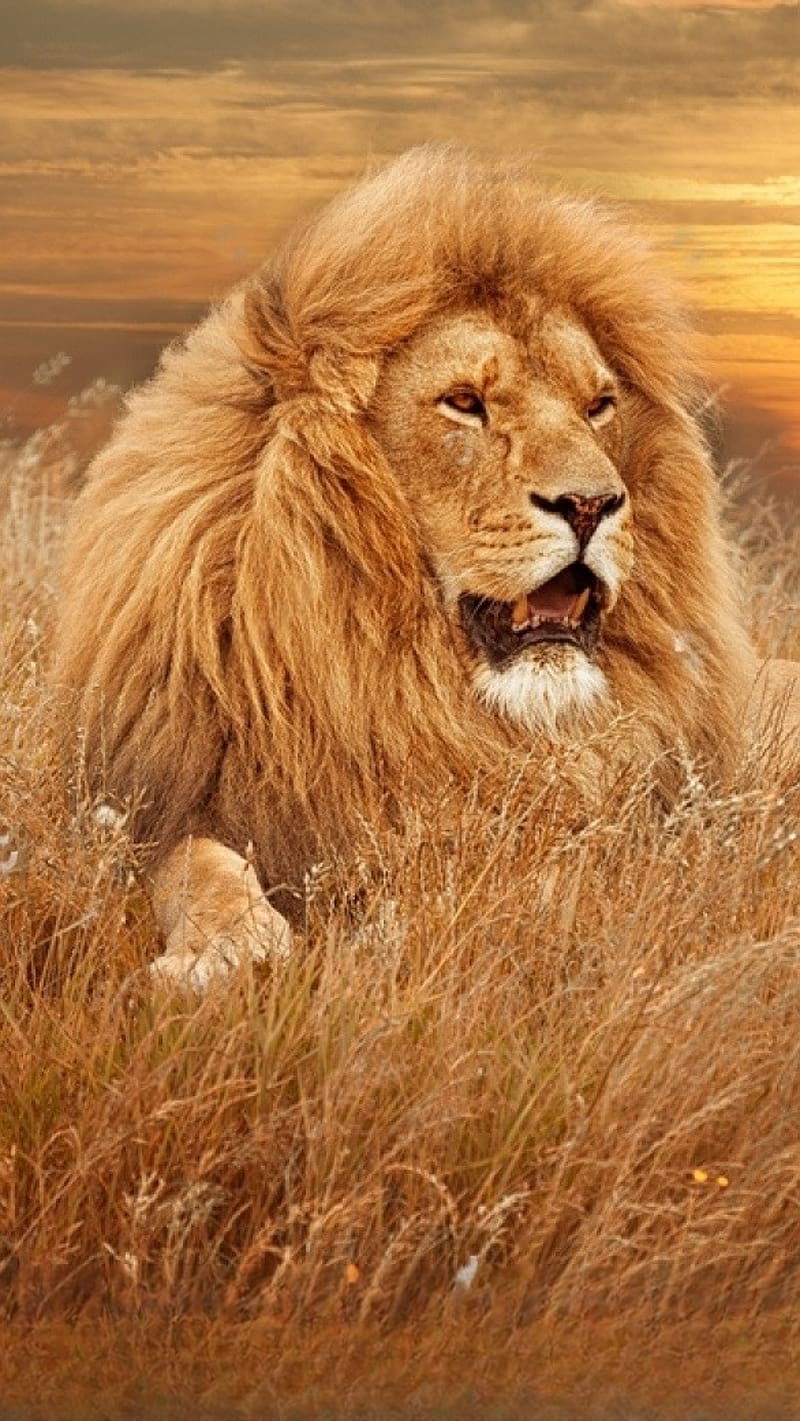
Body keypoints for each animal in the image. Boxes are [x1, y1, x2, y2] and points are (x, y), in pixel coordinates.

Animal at [54, 146, 799, 989]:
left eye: (598, 406)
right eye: (464, 401)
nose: (592, 503)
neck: (409, 687)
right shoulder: (158, 806)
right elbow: (198, 863)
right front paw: (230, 952)